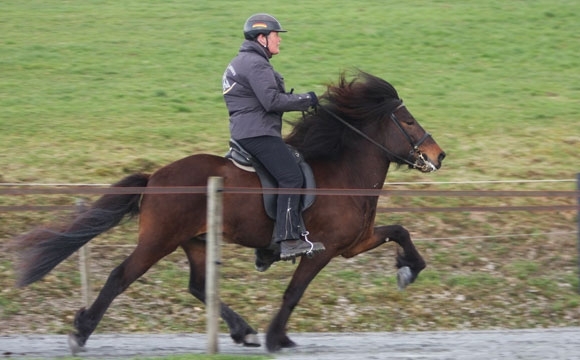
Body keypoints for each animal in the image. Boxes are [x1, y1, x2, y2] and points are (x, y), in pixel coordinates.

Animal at [15, 71, 446, 352]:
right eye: (408, 121)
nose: (438, 155)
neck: (343, 173)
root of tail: (155, 178)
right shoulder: (321, 250)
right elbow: (294, 292)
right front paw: (277, 338)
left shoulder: (354, 243)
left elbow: (400, 230)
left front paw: (409, 269)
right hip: (158, 241)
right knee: (121, 276)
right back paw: (81, 331)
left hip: (195, 240)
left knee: (199, 286)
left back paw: (242, 330)